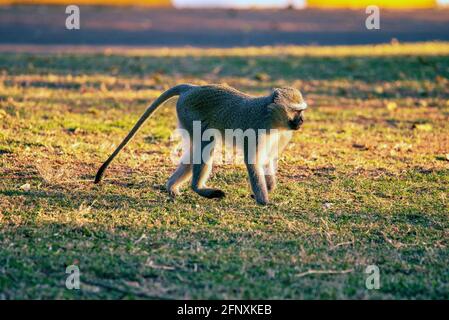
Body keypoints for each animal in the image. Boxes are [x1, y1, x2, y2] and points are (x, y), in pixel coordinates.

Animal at [93, 84, 304, 205]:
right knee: (206, 145)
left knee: (197, 150)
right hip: (188, 112)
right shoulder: (257, 129)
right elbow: (253, 162)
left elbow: (267, 160)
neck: (270, 116)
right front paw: (264, 201)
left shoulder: (280, 136)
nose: (302, 121)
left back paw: (172, 187)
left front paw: (269, 188)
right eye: (296, 111)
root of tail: (191, 88)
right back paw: (198, 189)